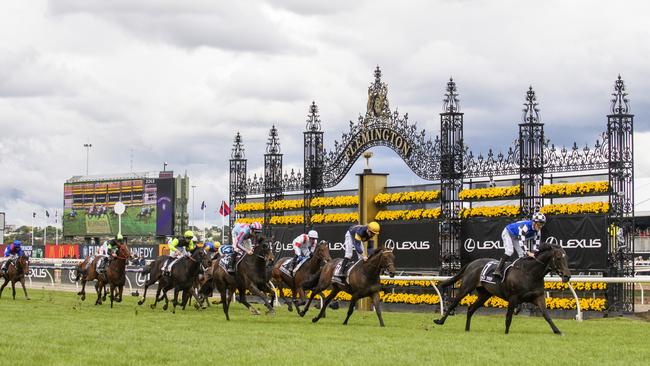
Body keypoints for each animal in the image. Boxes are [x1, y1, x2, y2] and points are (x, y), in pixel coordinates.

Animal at [432, 243, 568, 334]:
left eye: (566, 258)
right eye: (558, 258)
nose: (567, 275)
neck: (530, 273)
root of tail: (471, 263)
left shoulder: (538, 296)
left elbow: (546, 315)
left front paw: (557, 331)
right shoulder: (513, 297)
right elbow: (508, 317)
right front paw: (506, 333)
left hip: (485, 294)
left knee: (470, 309)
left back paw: (467, 329)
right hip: (466, 287)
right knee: (453, 304)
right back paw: (440, 321)